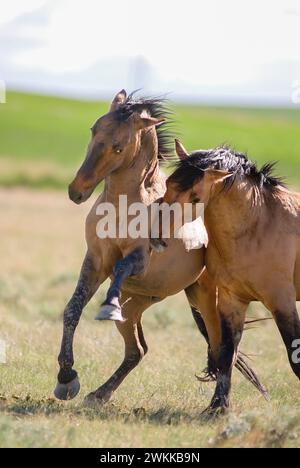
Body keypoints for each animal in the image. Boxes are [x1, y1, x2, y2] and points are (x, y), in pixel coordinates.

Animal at [157, 138, 300, 414]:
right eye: (168, 184)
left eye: (195, 197)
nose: (156, 236)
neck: (259, 226)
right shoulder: (232, 301)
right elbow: (226, 355)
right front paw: (217, 409)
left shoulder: (282, 302)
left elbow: (294, 354)